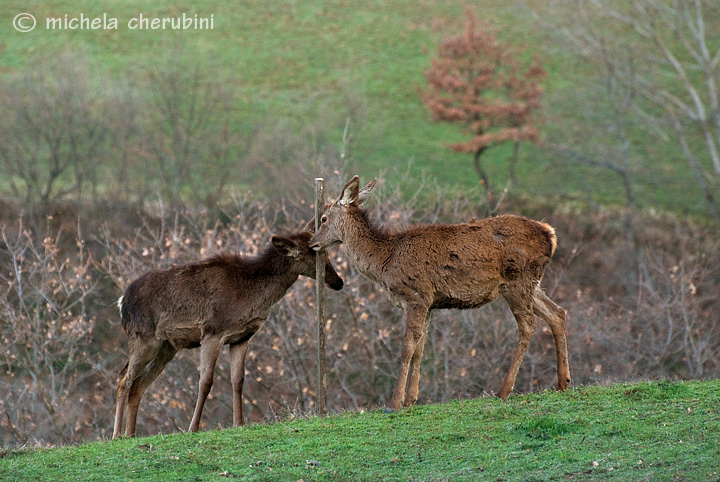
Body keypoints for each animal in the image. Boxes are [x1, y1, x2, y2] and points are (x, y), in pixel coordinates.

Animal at [112, 229, 344, 436]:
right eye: (314, 251)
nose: (339, 282)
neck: (251, 295)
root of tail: (121, 301)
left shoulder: (241, 337)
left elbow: (238, 380)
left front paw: (239, 423)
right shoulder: (212, 331)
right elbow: (205, 382)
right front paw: (193, 428)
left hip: (167, 347)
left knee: (138, 384)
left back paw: (130, 435)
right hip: (144, 338)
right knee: (124, 378)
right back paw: (116, 435)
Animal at [306, 177, 572, 410]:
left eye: (323, 218)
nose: (312, 242)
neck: (385, 260)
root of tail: (550, 234)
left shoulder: (416, 294)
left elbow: (407, 346)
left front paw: (395, 403)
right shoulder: (430, 302)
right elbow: (420, 346)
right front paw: (411, 399)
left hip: (517, 280)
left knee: (528, 324)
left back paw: (504, 390)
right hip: (532, 283)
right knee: (557, 313)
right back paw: (563, 382)